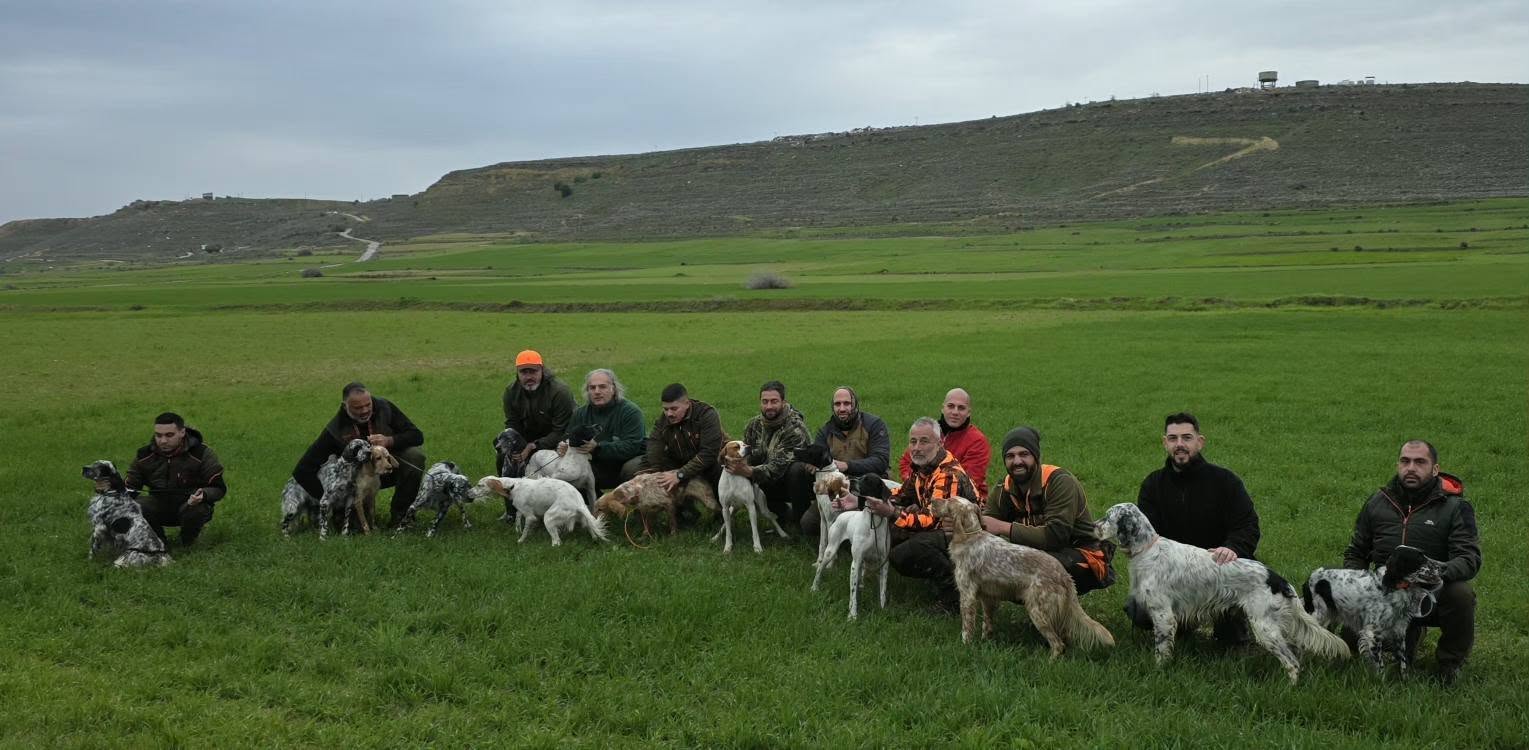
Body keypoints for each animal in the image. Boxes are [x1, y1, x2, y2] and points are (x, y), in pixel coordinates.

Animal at [475, 476, 609, 545]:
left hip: (548, 517)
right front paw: (517, 530)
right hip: (583, 516)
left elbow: (525, 531)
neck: (513, 485)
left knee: (557, 541)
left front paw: (521, 540)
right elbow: (518, 518)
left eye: (480, 485)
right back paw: (594, 539)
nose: (470, 492)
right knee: (591, 527)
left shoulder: (530, 516)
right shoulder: (521, 510)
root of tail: (578, 503)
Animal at [811, 474, 893, 620]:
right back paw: (815, 587)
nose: (852, 481)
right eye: (861, 477)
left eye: (868, 480)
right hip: (830, 550)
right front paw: (852, 615)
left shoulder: (884, 563)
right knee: (820, 568)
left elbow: (882, 590)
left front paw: (883, 609)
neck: (873, 522)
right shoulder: (855, 562)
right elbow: (853, 593)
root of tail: (841, 515)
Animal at [935, 496, 1113, 657]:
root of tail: (1064, 575)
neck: (970, 536)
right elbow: (987, 624)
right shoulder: (987, 596)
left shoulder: (967, 595)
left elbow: (967, 627)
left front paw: (965, 646)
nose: (932, 501)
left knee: (1058, 644)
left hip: (1037, 610)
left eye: (948, 500)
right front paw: (985, 640)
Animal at [1096, 503, 1348, 683]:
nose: (1094, 526)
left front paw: (1159, 671)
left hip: (1264, 627)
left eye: (1108, 517)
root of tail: (1276, 578)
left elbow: (1162, 650)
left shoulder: (1163, 615)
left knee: (1292, 661)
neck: (1147, 550)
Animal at [1302, 545, 1446, 676]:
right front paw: (1381, 682)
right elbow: (1379, 665)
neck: (1393, 587)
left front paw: (1404, 680)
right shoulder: (1373, 633)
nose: (1444, 566)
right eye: (1419, 557)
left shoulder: (1399, 630)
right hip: (1319, 615)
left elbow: (1403, 661)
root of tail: (1310, 576)